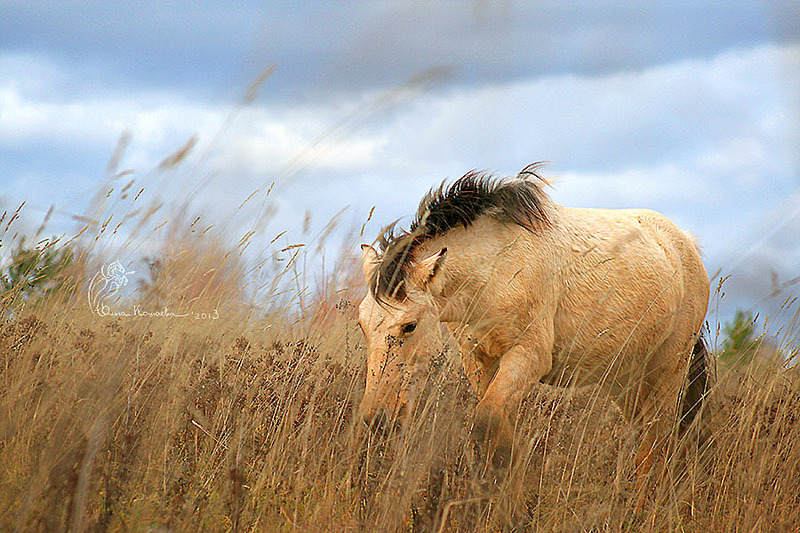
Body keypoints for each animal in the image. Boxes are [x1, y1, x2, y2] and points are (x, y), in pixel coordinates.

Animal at [360, 162, 708, 498]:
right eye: (361, 324)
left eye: (409, 326)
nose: (377, 420)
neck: (496, 266)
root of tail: (686, 243)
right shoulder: (481, 361)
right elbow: (499, 433)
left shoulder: (528, 356)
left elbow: (488, 422)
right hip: (626, 380)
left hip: (667, 371)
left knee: (657, 441)